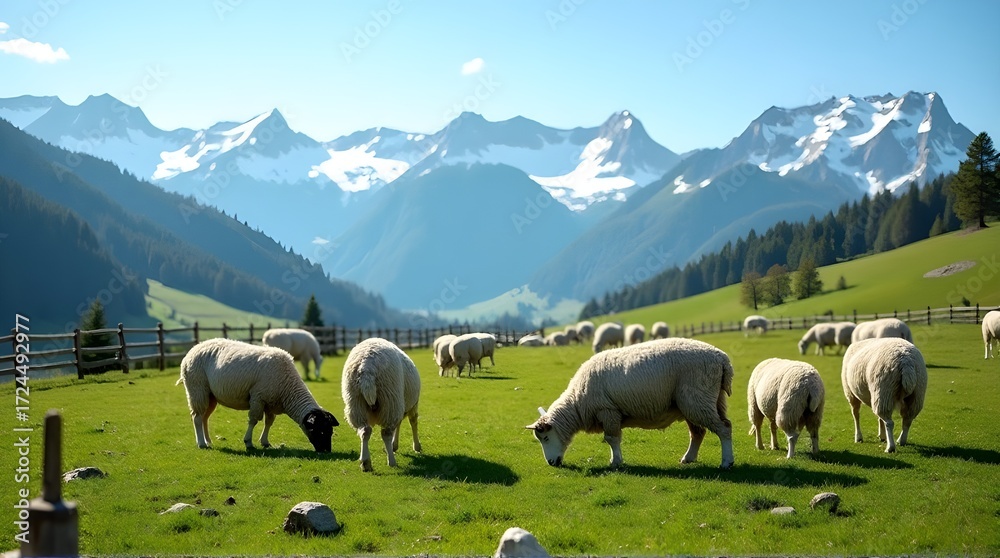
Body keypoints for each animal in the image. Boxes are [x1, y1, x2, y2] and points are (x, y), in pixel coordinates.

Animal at [176, 338, 339, 452]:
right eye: (319, 430)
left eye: (330, 431)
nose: (326, 451)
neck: (288, 387)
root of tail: (194, 348)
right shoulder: (258, 397)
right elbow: (254, 420)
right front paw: (248, 442)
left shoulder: (270, 401)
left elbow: (269, 422)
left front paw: (265, 442)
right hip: (197, 389)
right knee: (197, 417)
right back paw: (201, 444)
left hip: (210, 395)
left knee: (204, 418)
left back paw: (208, 441)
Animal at [341, 338, 422, 471]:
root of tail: (366, 368)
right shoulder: (412, 405)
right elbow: (413, 422)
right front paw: (416, 446)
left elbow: (400, 424)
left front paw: (395, 445)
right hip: (390, 399)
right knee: (386, 433)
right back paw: (391, 461)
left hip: (356, 403)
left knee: (365, 431)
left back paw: (366, 463)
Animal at [526, 338, 735, 469]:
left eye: (545, 438)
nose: (551, 464)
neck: (577, 404)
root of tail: (722, 358)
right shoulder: (611, 413)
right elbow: (613, 439)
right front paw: (615, 459)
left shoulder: (607, 410)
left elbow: (611, 438)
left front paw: (615, 462)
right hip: (702, 402)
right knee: (698, 432)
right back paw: (688, 458)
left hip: (697, 399)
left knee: (724, 428)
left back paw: (727, 462)